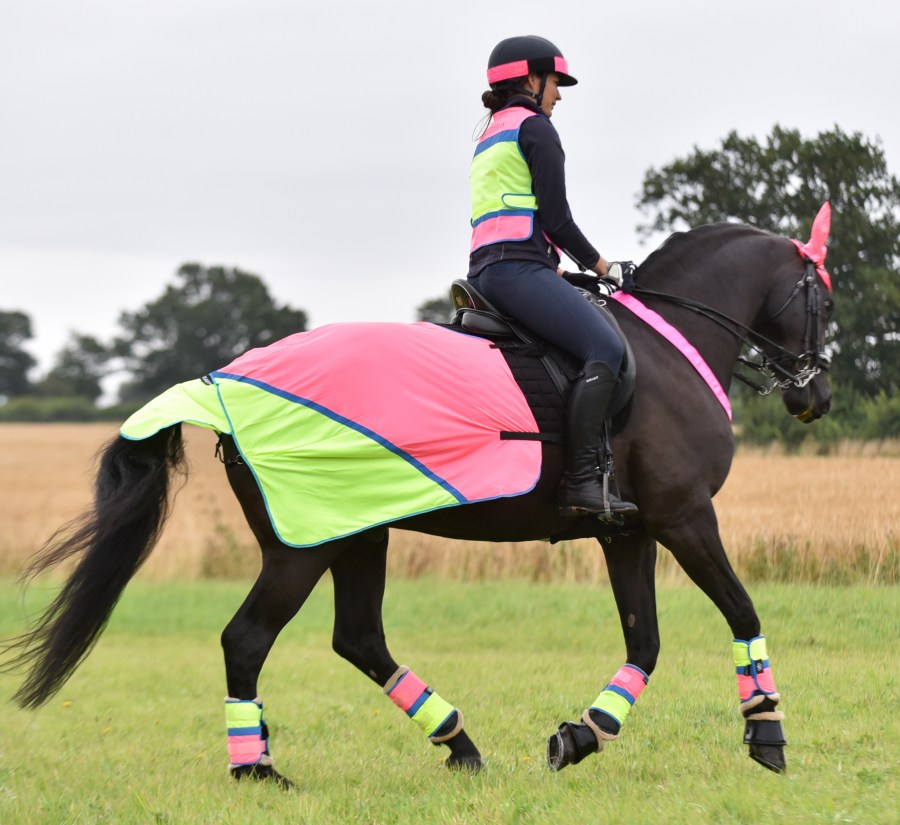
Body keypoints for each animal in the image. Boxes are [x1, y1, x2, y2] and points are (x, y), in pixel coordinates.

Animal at [1, 219, 828, 784]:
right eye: (820, 295)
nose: (814, 394)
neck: (667, 348)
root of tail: (220, 382)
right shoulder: (685, 517)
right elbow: (742, 609)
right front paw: (768, 733)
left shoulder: (629, 532)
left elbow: (644, 643)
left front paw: (581, 734)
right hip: (302, 547)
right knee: (248, 639)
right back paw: (256, 768)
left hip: (358, 533)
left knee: (359, 638)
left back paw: (459, 744)